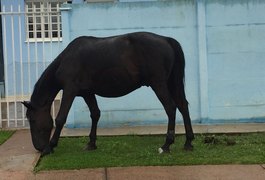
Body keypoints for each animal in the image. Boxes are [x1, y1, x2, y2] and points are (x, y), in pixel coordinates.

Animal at [21, 32, 193, 156]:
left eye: (32, 120)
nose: (38, 147)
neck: (67, 59)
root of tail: (166, 40)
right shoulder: (87, 93)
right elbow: (95, 114)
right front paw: (91, 144)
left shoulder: (70, 90)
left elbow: (61, 118)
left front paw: (50, 146)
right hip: (172, 83)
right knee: (183, 106)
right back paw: (188, 142)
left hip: (159, 84)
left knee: (170, 108)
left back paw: (166, 145)